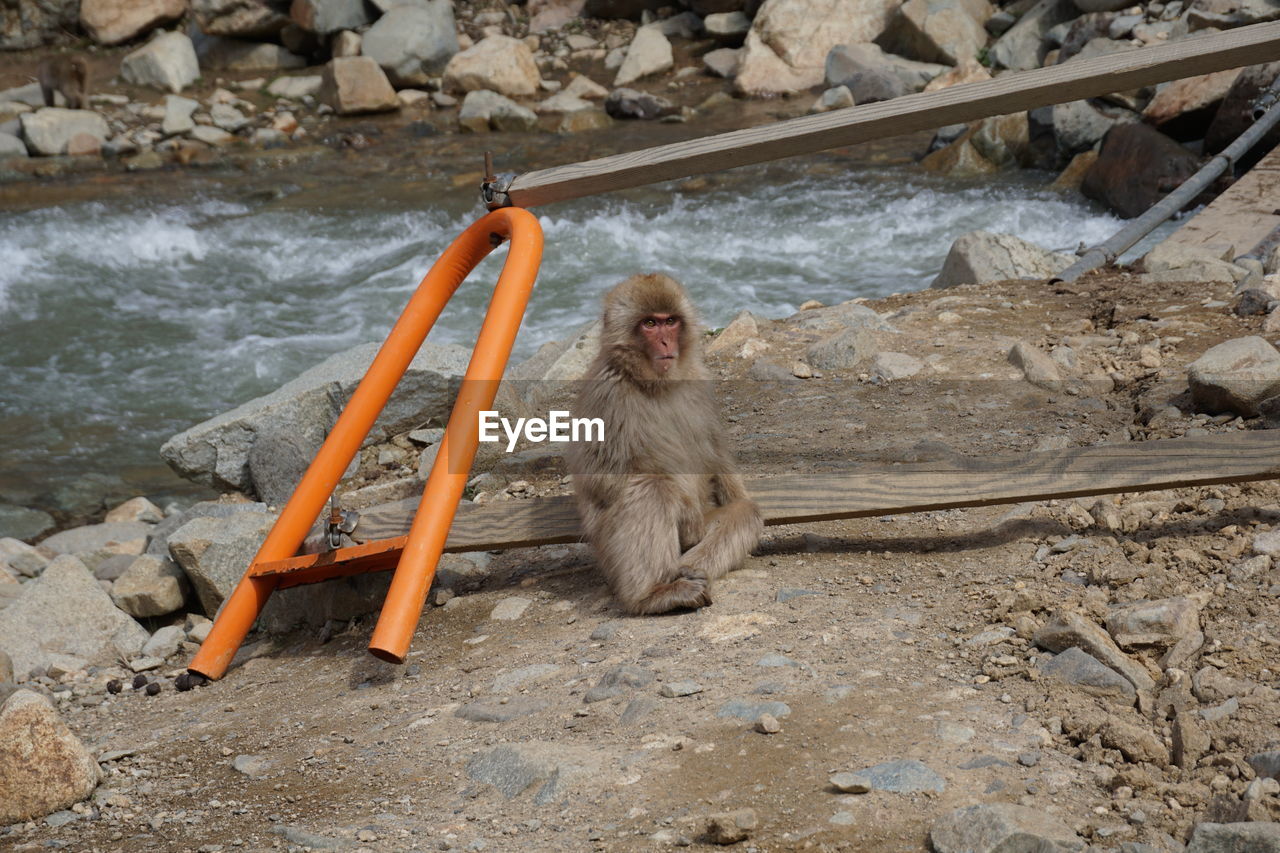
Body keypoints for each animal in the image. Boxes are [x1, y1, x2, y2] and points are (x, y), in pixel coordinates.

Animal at [568, 272, 757, 612]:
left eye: (670, 321)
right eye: (650, 324)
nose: (667, 342)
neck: (657, 383)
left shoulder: (700, 383)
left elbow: (716, 455)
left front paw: (736, 493)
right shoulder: (608, 395)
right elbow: (601, 476)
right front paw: (686, 513)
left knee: (745, 513)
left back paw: (690, 570)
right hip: (606, 549)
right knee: (652, 488)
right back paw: (653, 593)